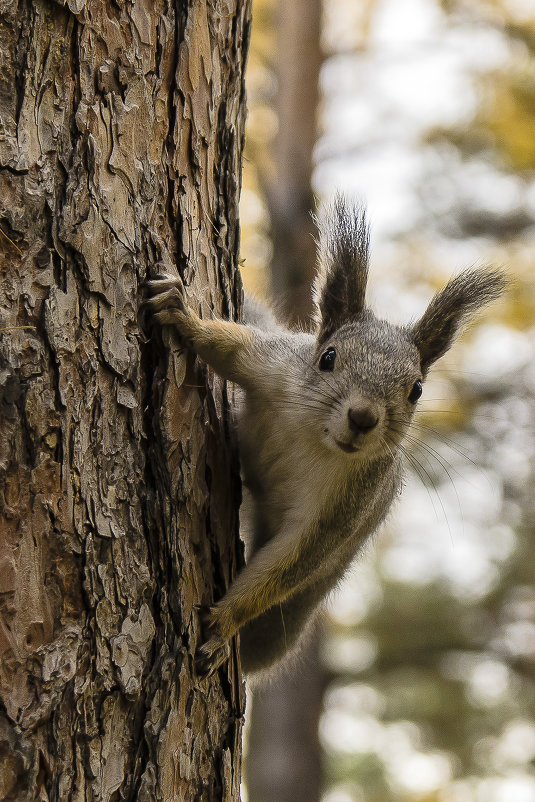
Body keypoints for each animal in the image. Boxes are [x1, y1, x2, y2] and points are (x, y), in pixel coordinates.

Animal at [144, 197, 508, 680]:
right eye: (328, 358)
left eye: (416, 389)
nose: (363, 417)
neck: (314, 435)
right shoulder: (275, 367)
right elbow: (229, 347)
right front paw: (183, 314)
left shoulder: (344, 507)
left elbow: (289, 564)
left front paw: (223, 626)